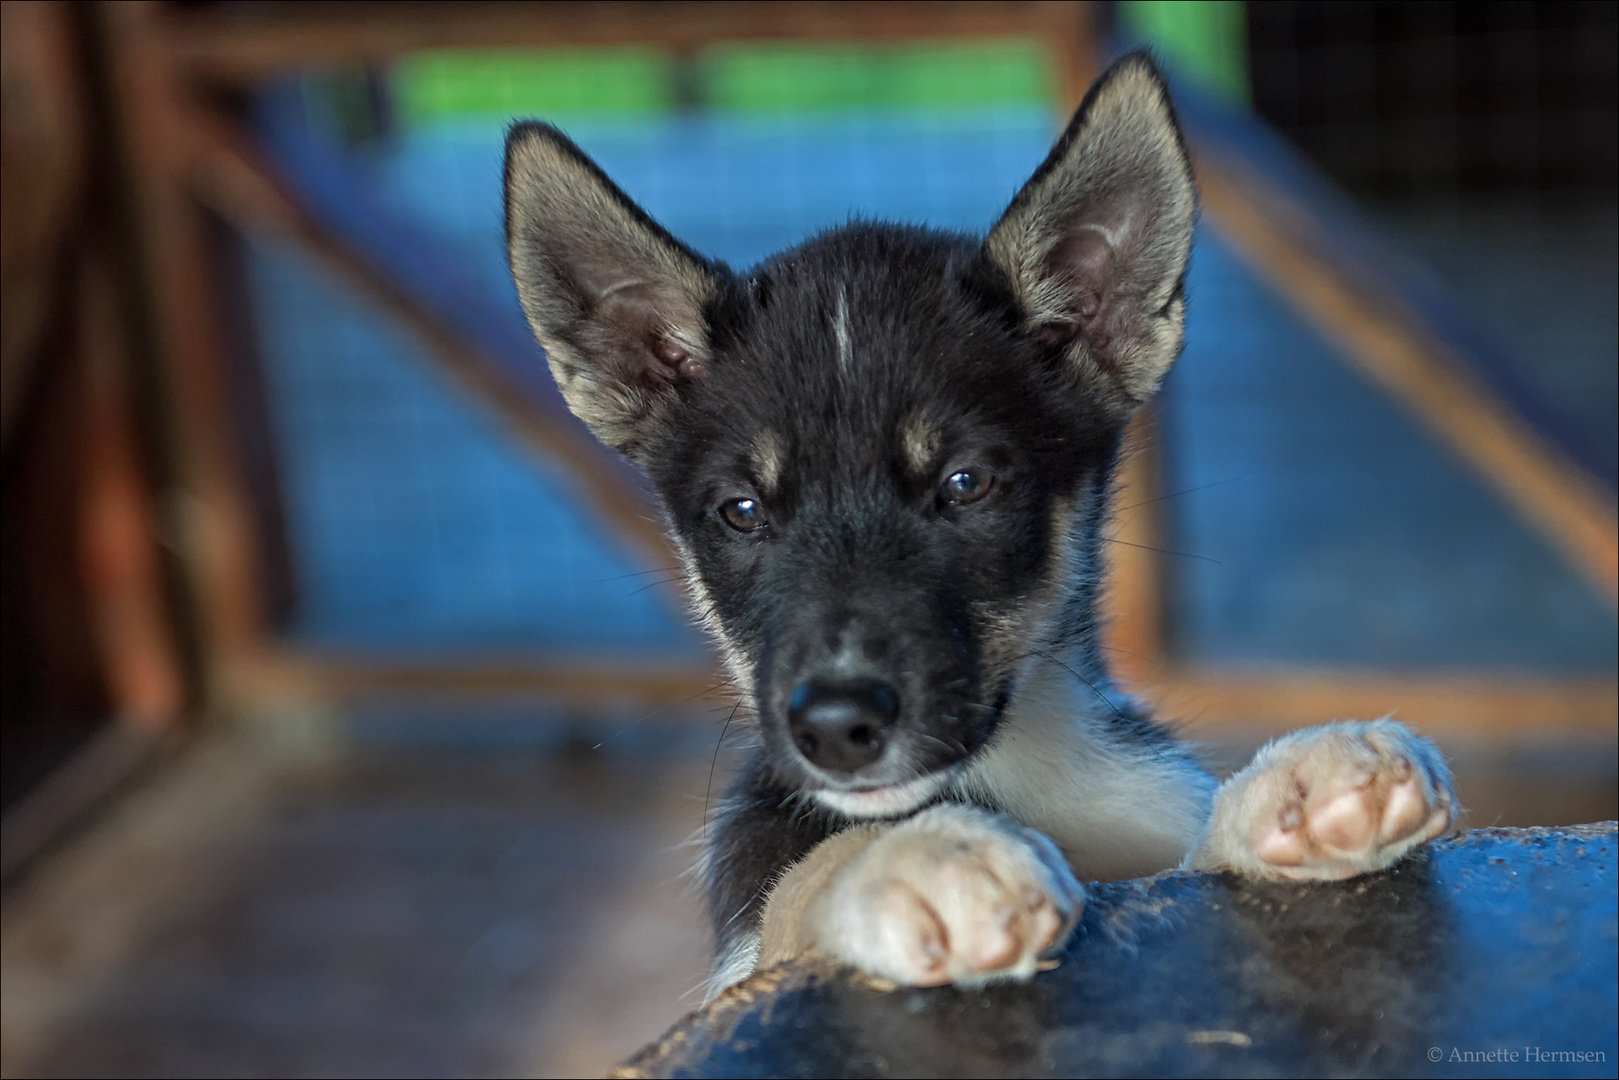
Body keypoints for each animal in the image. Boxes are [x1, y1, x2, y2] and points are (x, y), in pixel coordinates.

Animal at [501, 52, 1457, 997]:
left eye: (965, 484)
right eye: (741, 512)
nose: (838, 727)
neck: (1018, 774)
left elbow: (1188, 861)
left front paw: (1287, 789)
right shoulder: (751, 937)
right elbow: (804, 876)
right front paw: (909, 862)